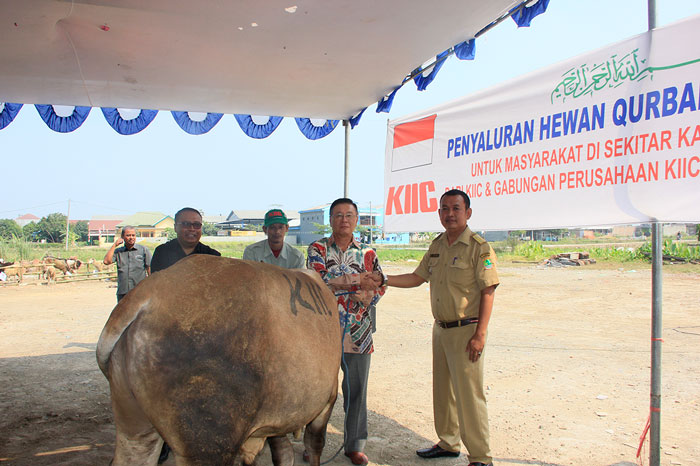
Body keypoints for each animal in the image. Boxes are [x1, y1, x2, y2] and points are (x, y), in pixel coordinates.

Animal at [95, 255, 342, 466]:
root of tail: (150, 293)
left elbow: (283, 454)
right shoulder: (327, 400)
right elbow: (314, 446)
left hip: (135, 429)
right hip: (207, 441)